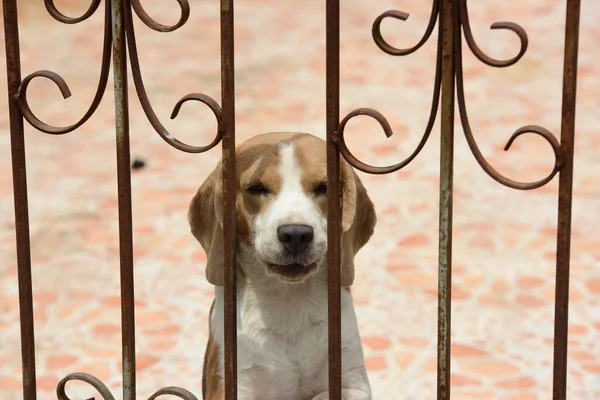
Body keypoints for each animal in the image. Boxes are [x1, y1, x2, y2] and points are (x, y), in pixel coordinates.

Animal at [188, 133, 376, 398]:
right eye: (256, 188)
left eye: (324, 188)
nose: (296, 234)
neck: (288, 301)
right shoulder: (231, 383)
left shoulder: (353, 382)